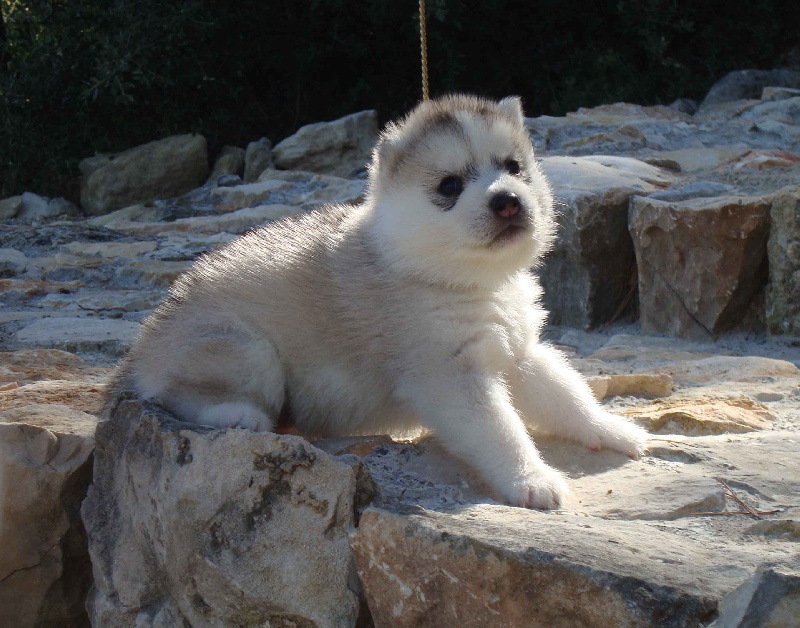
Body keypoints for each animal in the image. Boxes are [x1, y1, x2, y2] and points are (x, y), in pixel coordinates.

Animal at [112, 94, 647, 509]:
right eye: (450, 186)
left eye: (514, 168)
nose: (508, 201)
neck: (461, 280)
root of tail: (142, 347)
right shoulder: (448, 374)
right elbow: (500, 429)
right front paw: (532, 480)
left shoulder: (518, 353)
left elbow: (568, 396)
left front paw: (613, 430)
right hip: (245, 349)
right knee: (173, 395)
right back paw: (238, 415)